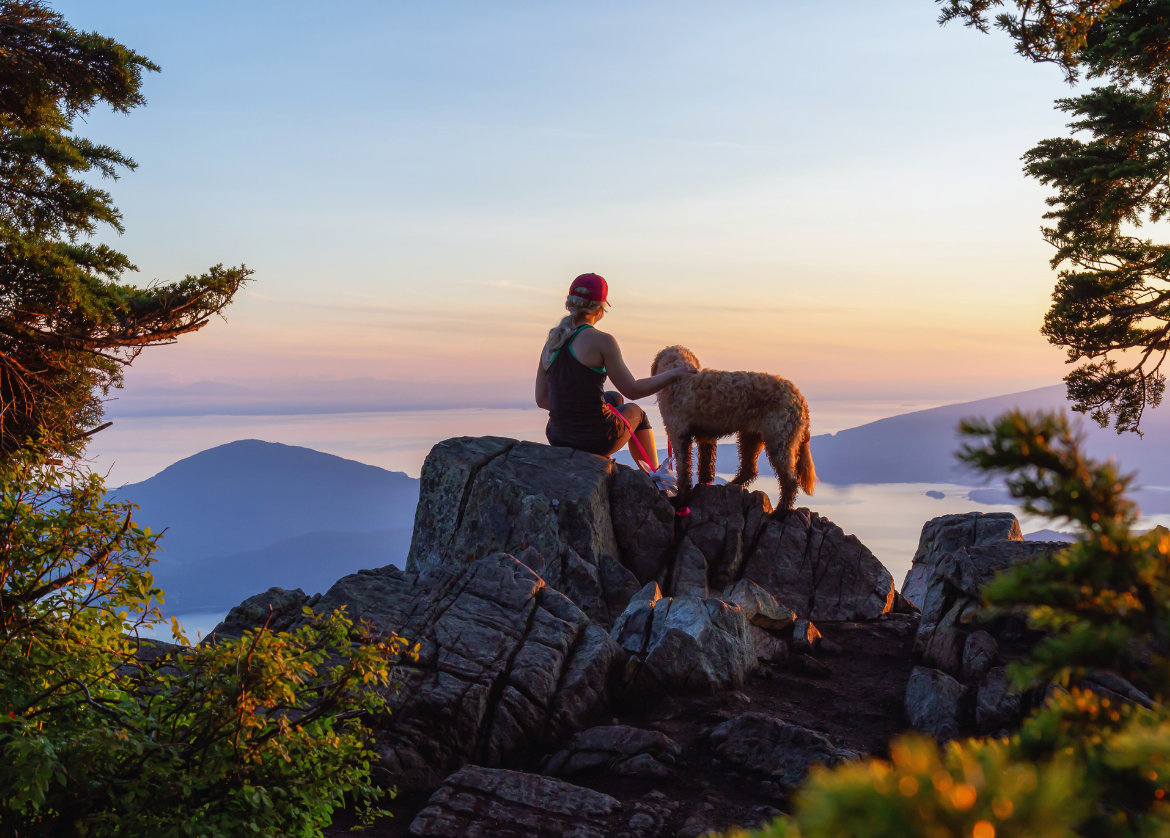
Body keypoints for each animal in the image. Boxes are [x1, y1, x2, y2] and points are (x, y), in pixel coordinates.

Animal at [655, 346, 819, 510]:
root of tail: (800, 398)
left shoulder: (678, 434)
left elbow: (683, 469)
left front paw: (681, 499)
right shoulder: (706, 436)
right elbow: (705, 464)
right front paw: (702, 484)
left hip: (779, 441)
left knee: (789, 481)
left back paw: (781, 510)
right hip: (751, 436)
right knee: (750, 469)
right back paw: (731, 484)